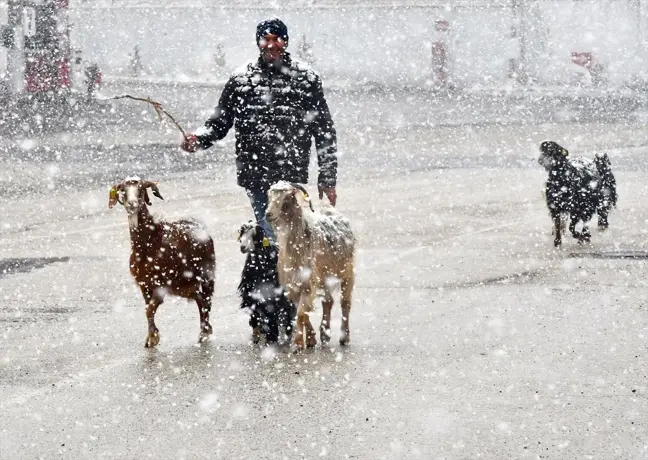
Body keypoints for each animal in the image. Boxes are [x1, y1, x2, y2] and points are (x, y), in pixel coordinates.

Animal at [107, 178, 215, 346]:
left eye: (141, 189)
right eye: (123, 190)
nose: (132, 204)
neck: (150, 243)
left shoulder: (161, 284)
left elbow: (149, 309)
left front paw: (153, 338)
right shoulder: (144, 284)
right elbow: (148, 309)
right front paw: (151, 337)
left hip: (206, 274)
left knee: (207, 300)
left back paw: (205, 332)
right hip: (184, 283)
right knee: (199, 298)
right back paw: (204, 330)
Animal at [264, 181, 356, 346]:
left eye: (287, 197)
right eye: (269, 195)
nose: (268, 214)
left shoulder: (307, 282)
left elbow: (301, 313)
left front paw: (298, 344)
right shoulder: (293, 284)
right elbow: (302, 312)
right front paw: (311, 338)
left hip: (347, 272)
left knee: (345, 303)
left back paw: (344, 337)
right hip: (325, 276)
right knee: (328, 301)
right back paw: (325, 334)